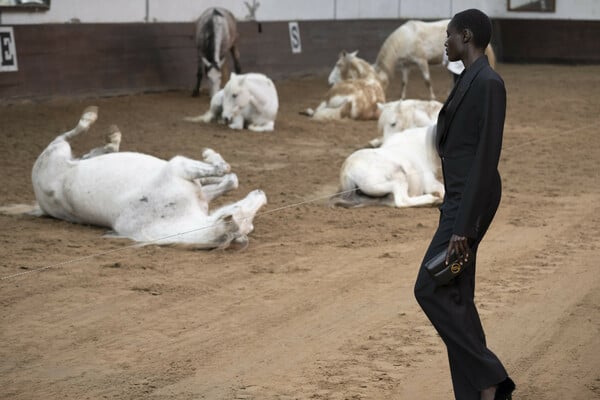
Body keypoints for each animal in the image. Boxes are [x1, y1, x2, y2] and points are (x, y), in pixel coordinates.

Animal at [21, 106, 268, 250]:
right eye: (239, 209)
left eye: (251, 225)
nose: (262, 194)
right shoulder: (179, 167)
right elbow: (225, 170)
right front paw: (210, 154)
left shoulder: (194, 187)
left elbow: (228, 178)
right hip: (58, 150)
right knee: (68, 136)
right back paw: (92, 119)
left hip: (66, 155)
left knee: (89, 153)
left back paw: (111, 139)